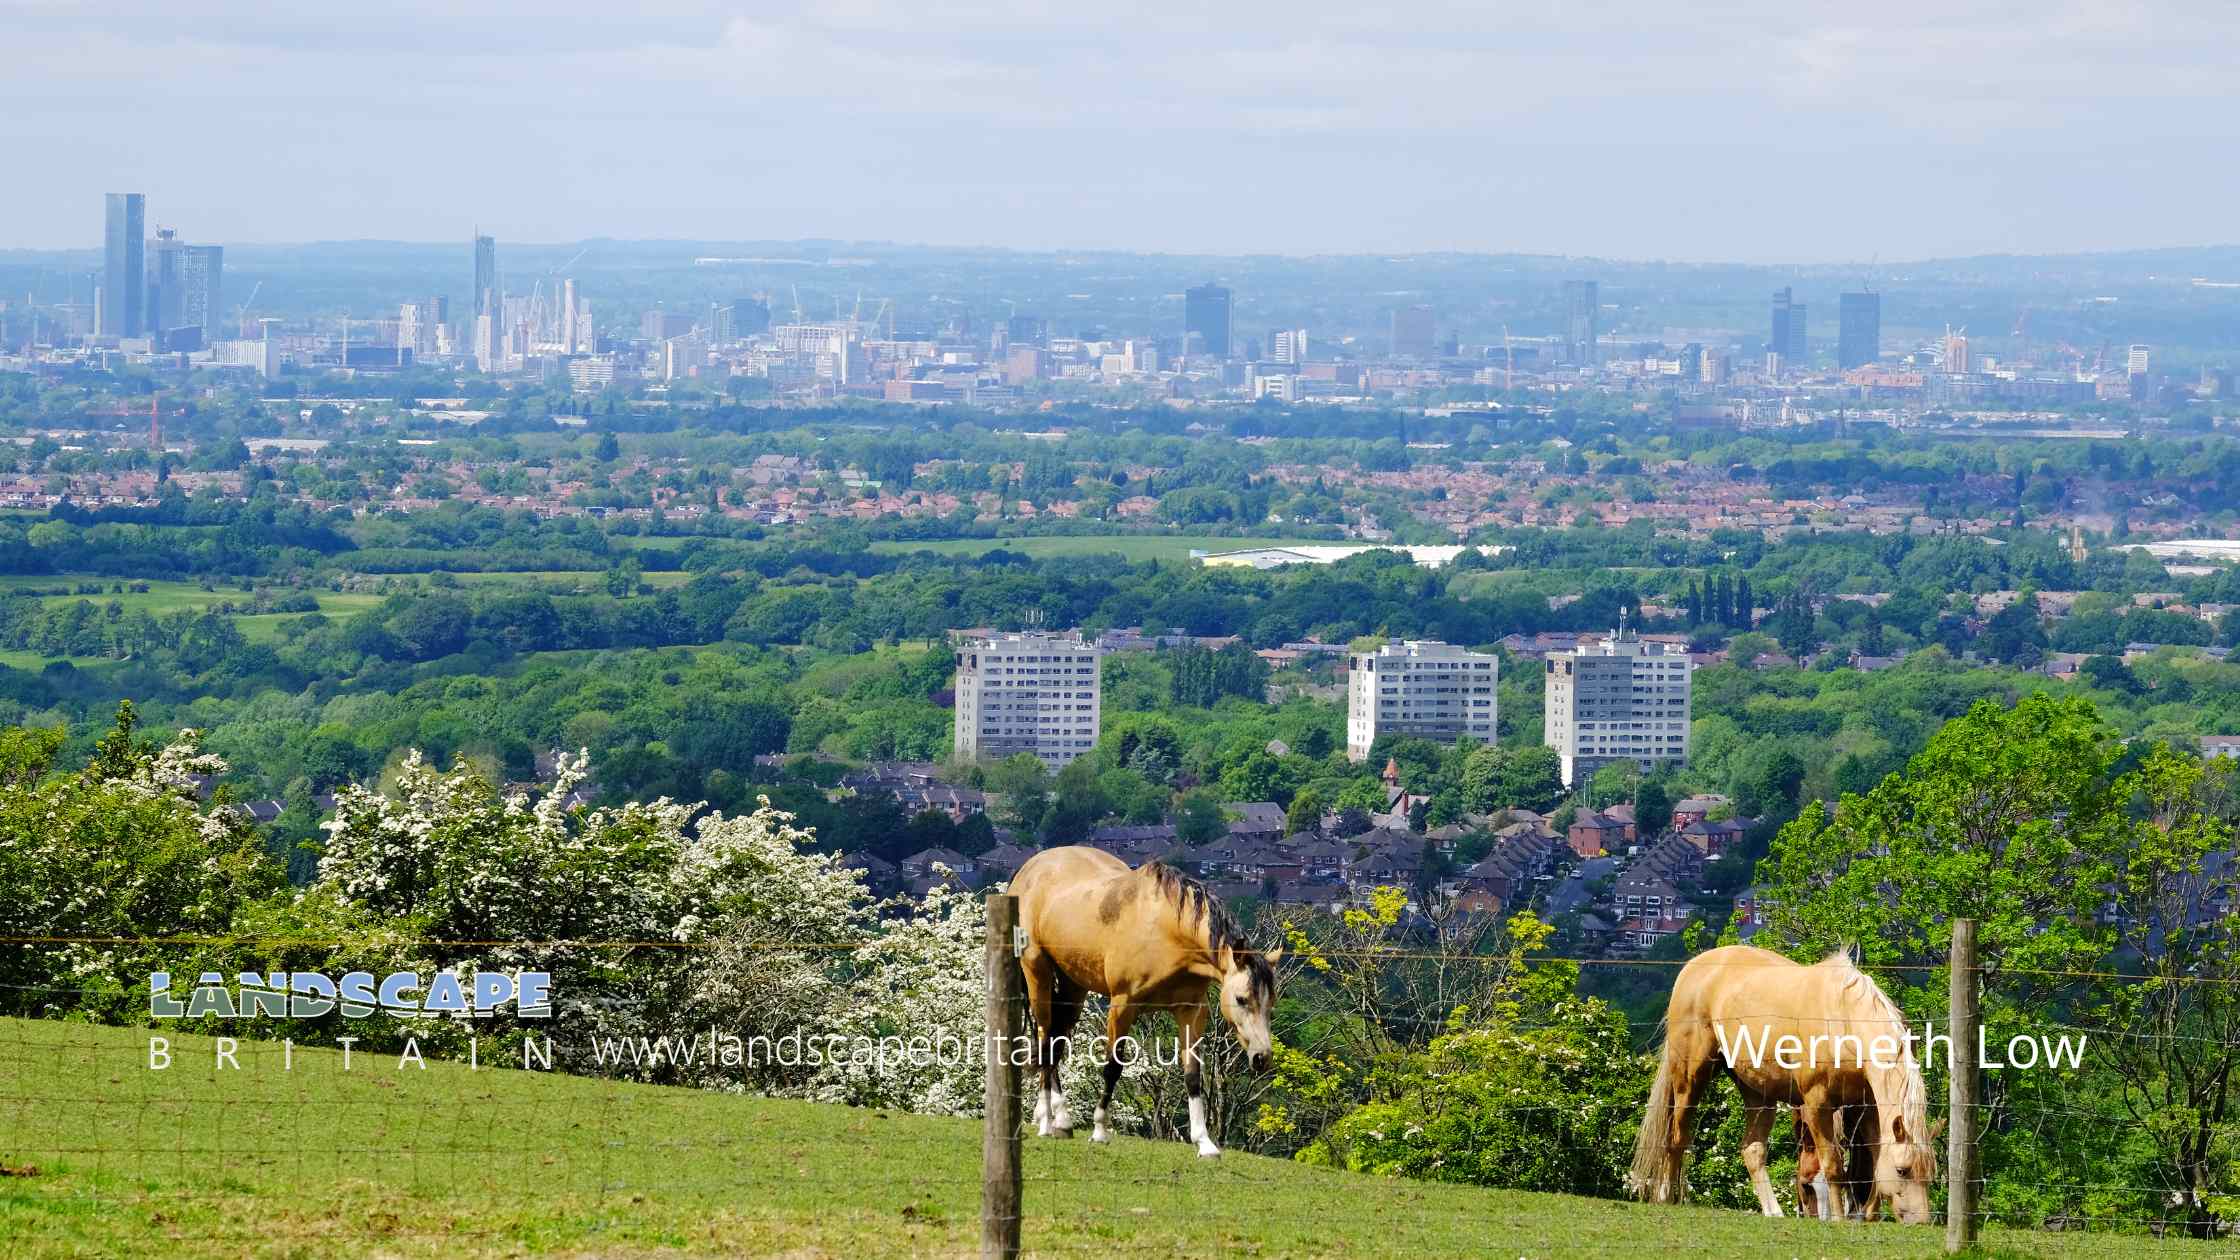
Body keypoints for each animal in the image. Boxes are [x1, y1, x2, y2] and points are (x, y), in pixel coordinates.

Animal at [1012, 838, 1281, 1156]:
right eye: (1241, 998)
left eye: (1271, 1003)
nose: (1262, 1057)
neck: (1166, 932)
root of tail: (1030, 868)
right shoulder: (1122, 1005)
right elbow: (1113, 1067)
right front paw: (1100, 1130)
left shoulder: (1192, 1010)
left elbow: (1193, 1073)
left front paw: (1204, 1142)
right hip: (1037, 972)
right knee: (1043, 1037)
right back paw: (1045, 1119)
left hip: (1073, 984)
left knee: (1055, 1042)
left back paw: (1061, 1120)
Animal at [1630, 941, 1944, 1219]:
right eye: (1903, 1170)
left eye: (1931, 1173)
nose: (1920, 1221)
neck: (1844, 1020)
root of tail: (1692, 968)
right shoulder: (1817, 1104)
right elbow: (1833, 1164)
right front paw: (1840, 1218)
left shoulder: (1865, 1107)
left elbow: (1872, 1159)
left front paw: (1867, 1215)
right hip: (1690, 1077)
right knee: (1677, 1137)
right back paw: (1667, 1197)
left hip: (1758, 1093)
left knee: (1752, 1149)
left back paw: (1774, 1211)